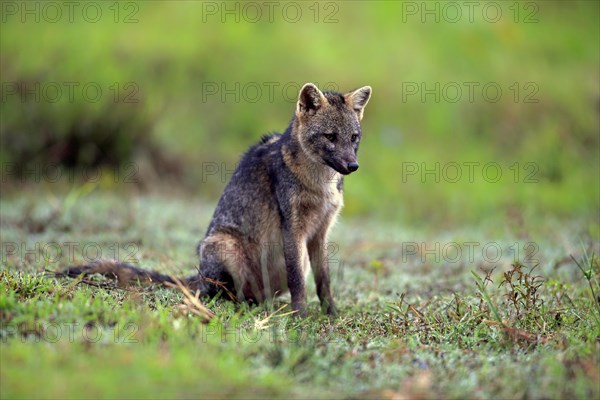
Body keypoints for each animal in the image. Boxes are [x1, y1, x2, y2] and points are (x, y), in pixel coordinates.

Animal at [59, 83, 370, 318]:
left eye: (354, 137)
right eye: (330, 137)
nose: (353, 166)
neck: (320, 185)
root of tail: (198, 275)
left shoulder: (320, 232)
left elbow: (324, 281)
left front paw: (331, 314)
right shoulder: (292, 229)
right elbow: (298, 283)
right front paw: (300, 316)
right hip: (224, 247)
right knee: (227, 295)